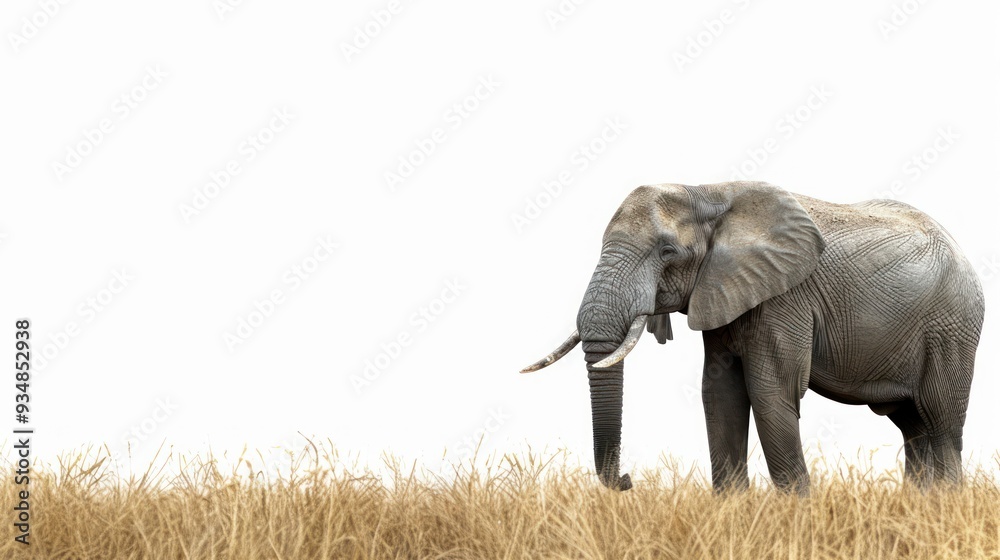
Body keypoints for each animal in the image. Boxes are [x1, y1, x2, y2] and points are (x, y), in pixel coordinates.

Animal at [521, 181, 984, 493]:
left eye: (667, 252)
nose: (628, 479)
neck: (707, 192)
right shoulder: (721, 293)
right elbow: (719, 394)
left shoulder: (785, 297)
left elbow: (770, 392)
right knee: (913, 427)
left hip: (952, 328)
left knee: (941, 423)